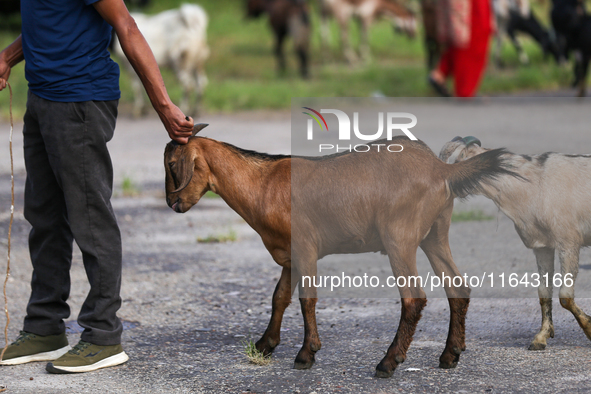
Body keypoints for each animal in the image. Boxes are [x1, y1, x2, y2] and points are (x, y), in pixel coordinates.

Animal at [163, 124, 512, 378]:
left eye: (172, 165)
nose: (172, 203)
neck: (264, 184)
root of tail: (441, 170)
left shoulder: (305, 247)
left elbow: (306, 300)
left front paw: (306, 354)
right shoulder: (290, 255)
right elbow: (279, 297)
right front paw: (265, 344)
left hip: (400, 237)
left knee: (414, 298)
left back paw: (388, 362)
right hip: (435, 235)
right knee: (458, 287)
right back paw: (450, 355)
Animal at [442, 136, 591, 350]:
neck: (534, 184)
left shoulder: (568, 242)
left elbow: (565, 295)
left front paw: (590, 329)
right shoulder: (543, 245)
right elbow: (544, 291)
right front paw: (541, 337)